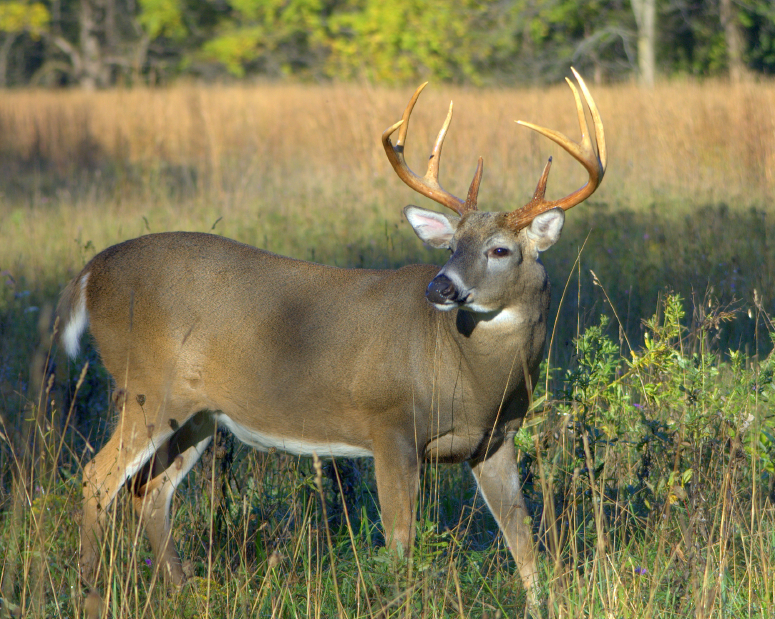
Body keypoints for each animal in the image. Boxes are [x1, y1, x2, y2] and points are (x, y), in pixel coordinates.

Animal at [60, 69, 608, 612]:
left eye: (499, 250)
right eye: (452, 245)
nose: (440, 287)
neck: (471, 377)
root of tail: (89, 273)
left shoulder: (495, 440)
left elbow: (523, 539)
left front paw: (544, 606)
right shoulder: (391, 426)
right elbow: (401, 544)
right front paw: (398, 601)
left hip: (198, 413)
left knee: (149, 490)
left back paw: (182, 591)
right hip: (145, 386)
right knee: (96, 478)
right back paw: (90, 595)